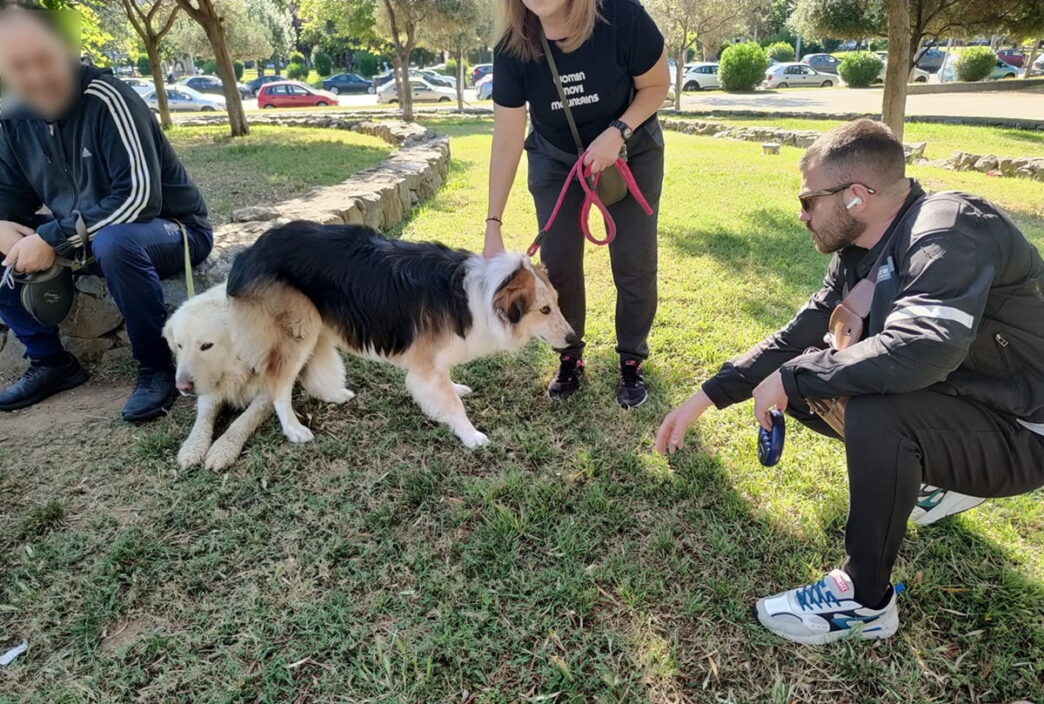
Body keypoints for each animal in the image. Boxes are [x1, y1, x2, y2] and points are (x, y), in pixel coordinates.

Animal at [222, 222, 580, 447]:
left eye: (556, 303)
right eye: (544, 310)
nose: (576, 340)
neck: (481, 294)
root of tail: (246, 254)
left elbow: (447, 388)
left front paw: (456, 389)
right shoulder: (426, 363)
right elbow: (450, 404)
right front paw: (470, 435)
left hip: (318, 324)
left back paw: (334, 395)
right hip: (297, 331)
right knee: (278, 384)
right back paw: (294, 429)